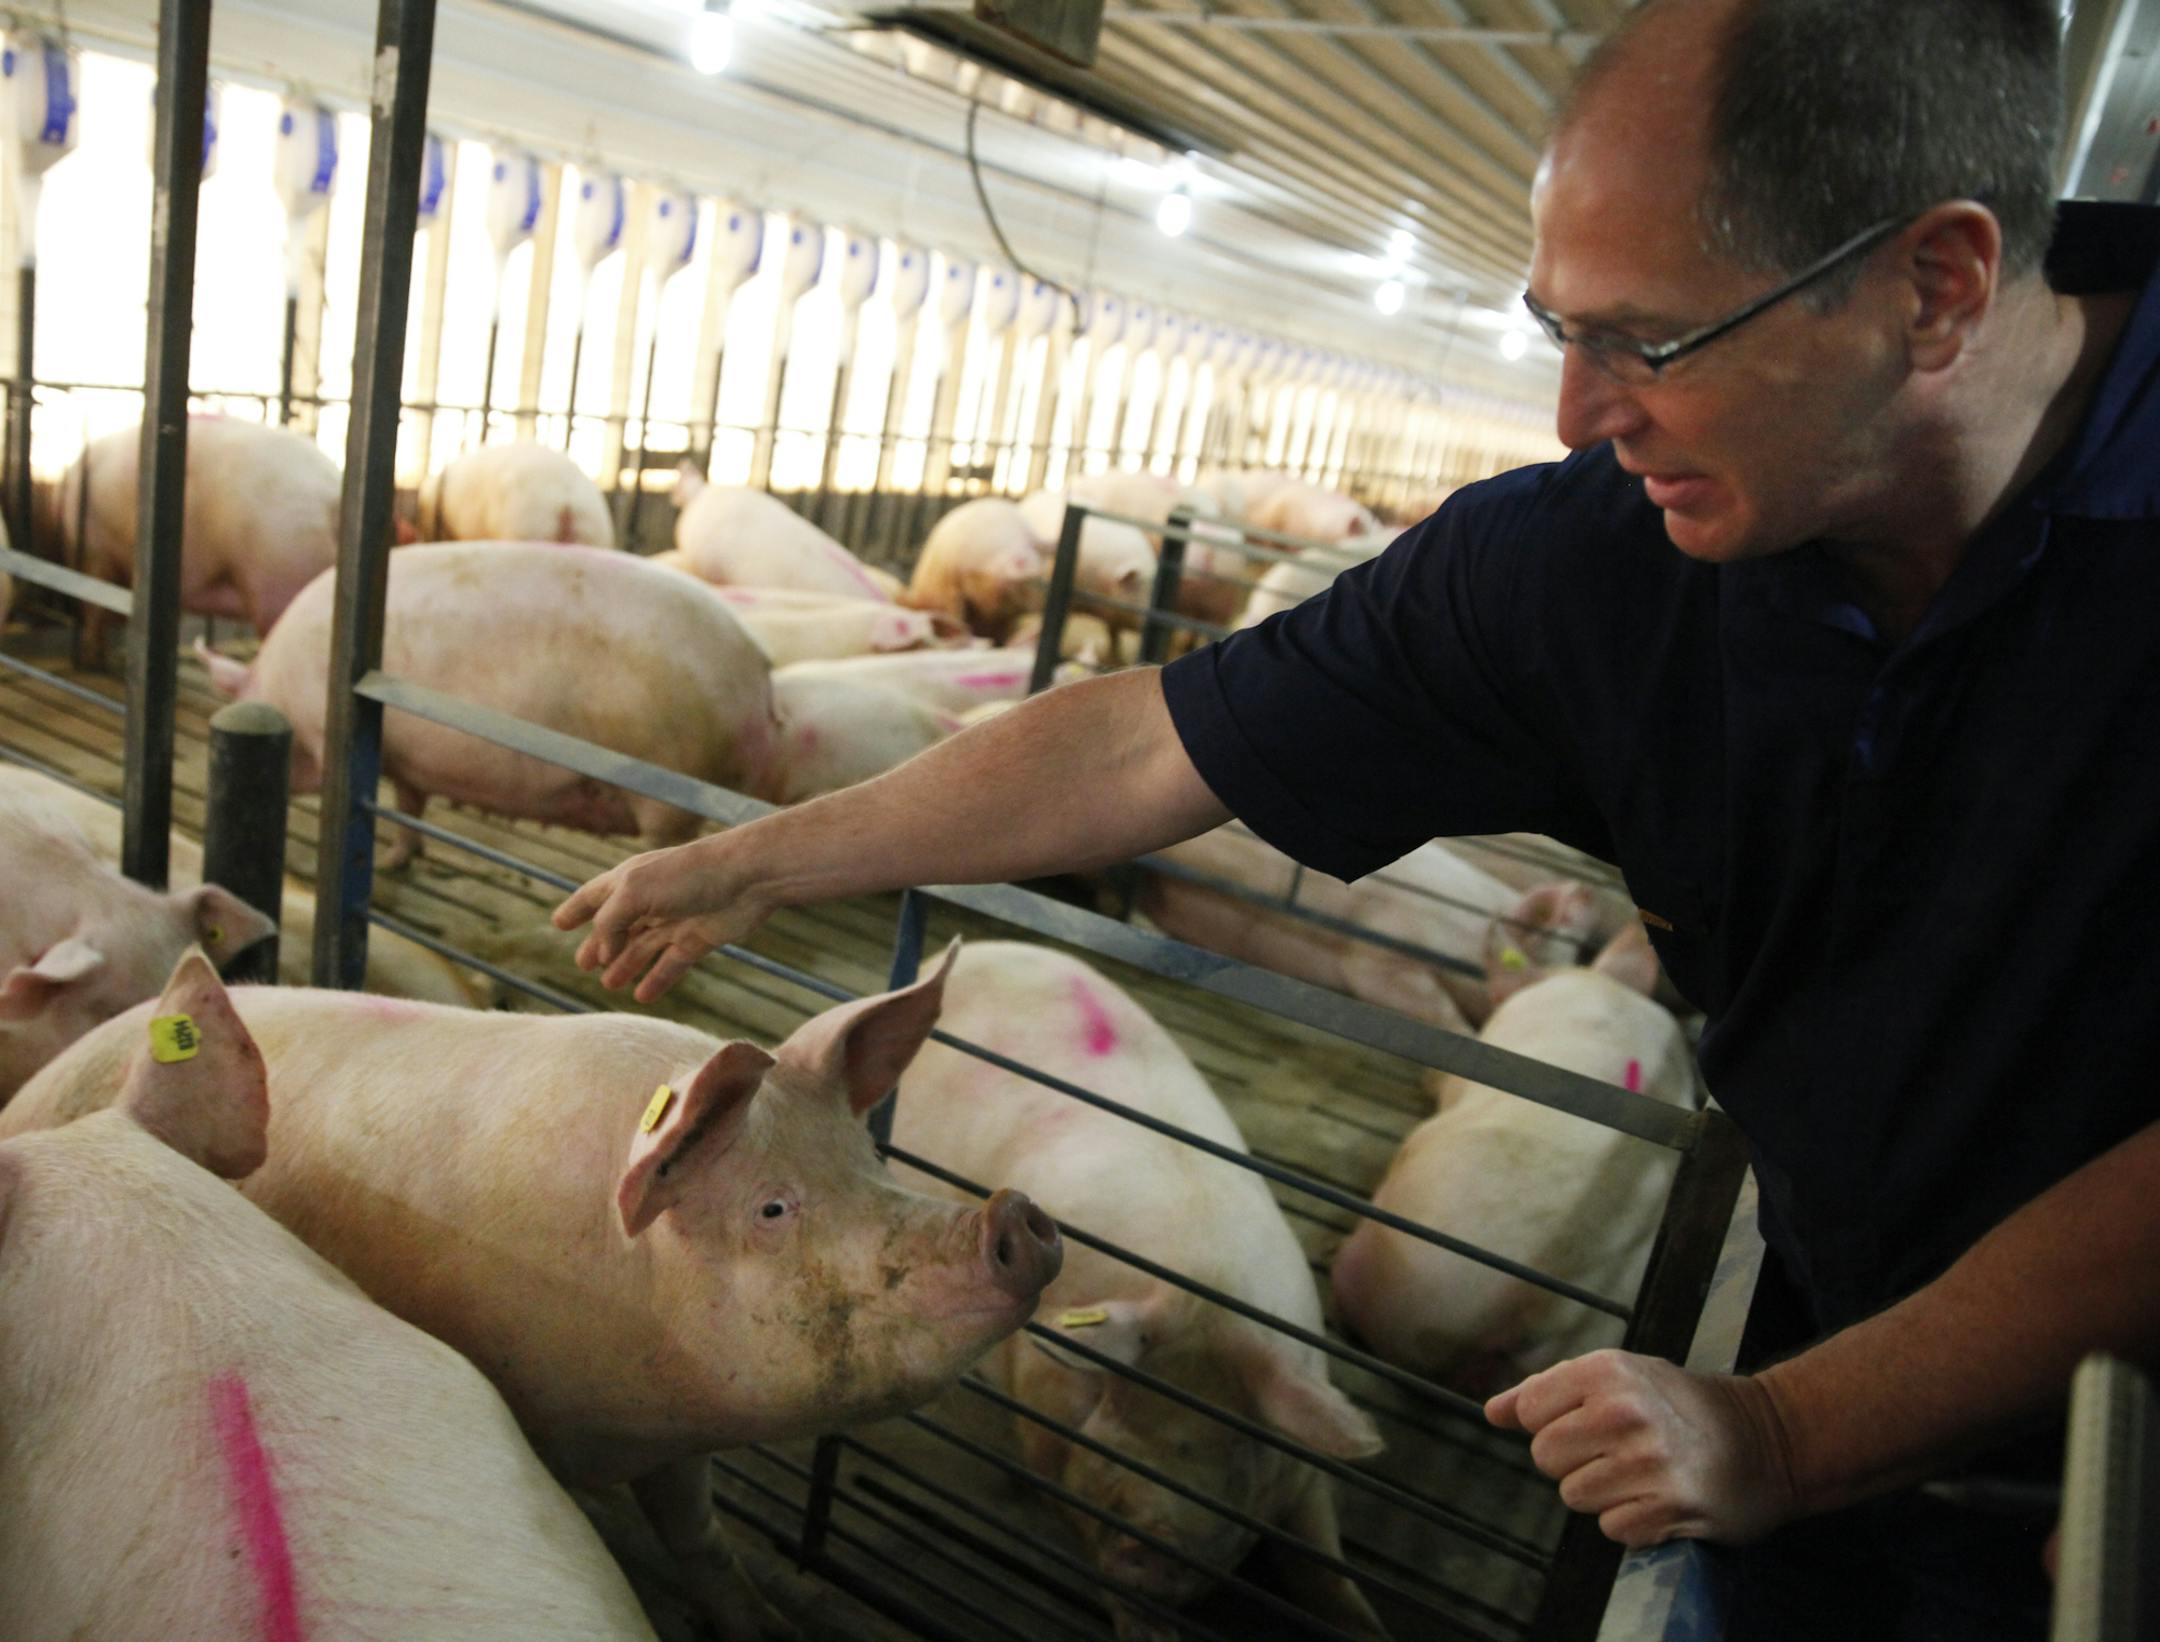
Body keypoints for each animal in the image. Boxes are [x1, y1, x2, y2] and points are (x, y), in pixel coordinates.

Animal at [199, 541, 782, 864]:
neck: (278, 687)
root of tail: (758, 669)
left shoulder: (327, 735)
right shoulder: (408, 759)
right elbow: (409, 805)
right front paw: (395, 861)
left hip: (671, 792)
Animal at [891, 942, 1389, 1642]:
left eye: (1237, 1443)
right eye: (1115, 1400)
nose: (1151, 1543)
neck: (1204, 1292)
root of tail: (967, 950)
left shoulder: (1300, 1460)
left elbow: (1323, 1565)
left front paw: (1368, 1625)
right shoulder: (1049, 1439)